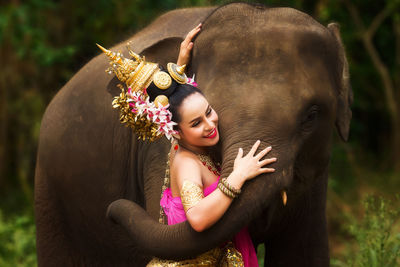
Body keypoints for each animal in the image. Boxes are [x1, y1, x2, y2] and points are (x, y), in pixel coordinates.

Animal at [35, 2, 354, 267]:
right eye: (212, 108)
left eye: (312, 115)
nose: (111, 212)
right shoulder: (157, 157)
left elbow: (305, 256)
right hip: (51, 193)